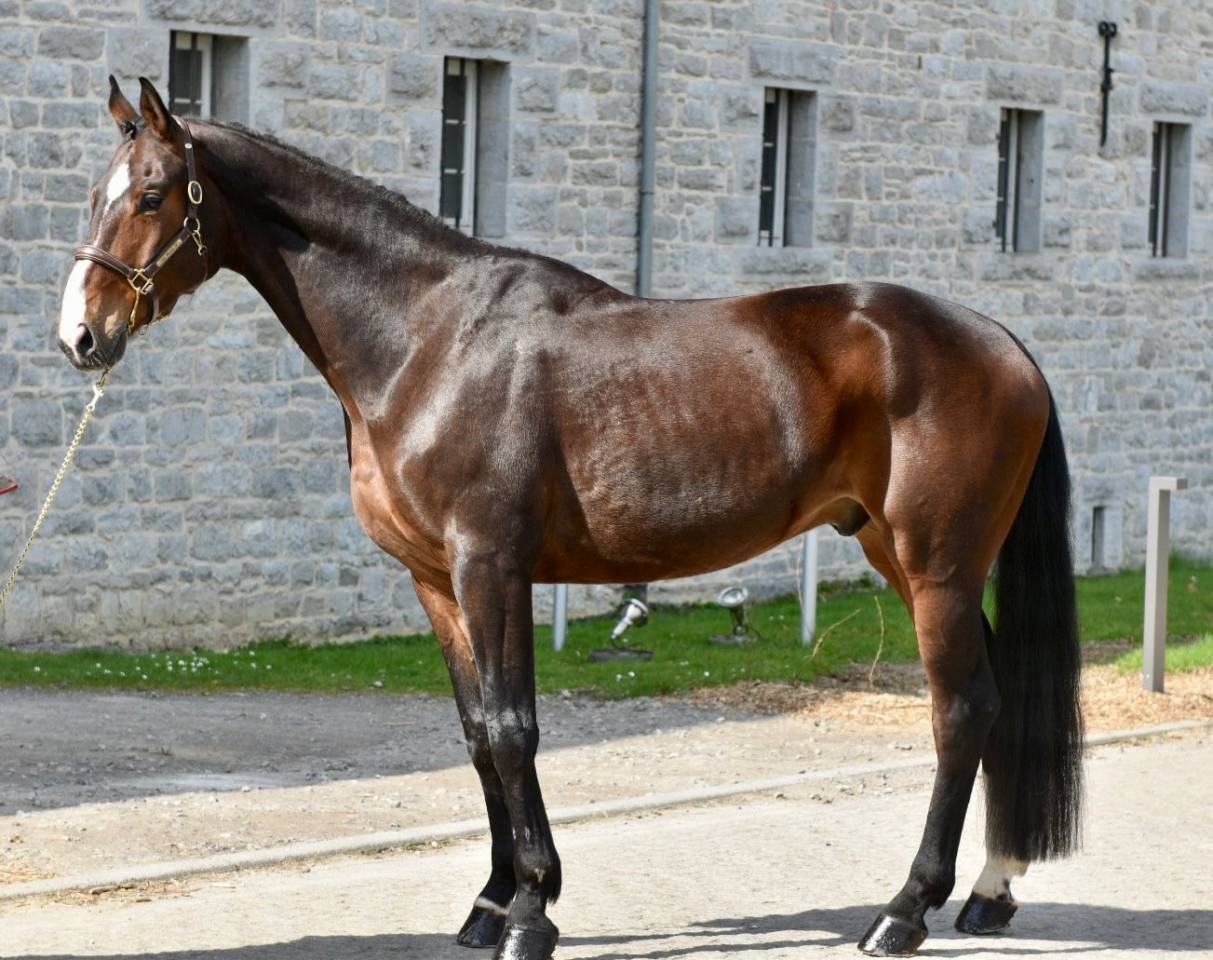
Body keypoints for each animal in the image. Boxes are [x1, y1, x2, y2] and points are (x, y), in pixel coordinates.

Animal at [56, 77, 1083, 959]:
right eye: (94, 193)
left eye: (152, 196)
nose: (79, 335)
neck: (429, 340)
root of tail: (1001, 341)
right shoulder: (434, 580)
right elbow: (477, 734)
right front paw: (488, 903)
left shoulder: (491, 565)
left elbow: (515, 729)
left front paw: (532, 914)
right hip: (903, 557)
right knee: (993, 701)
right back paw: (988, 891)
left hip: (935, 565)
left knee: (962, 709)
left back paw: (903, 911)